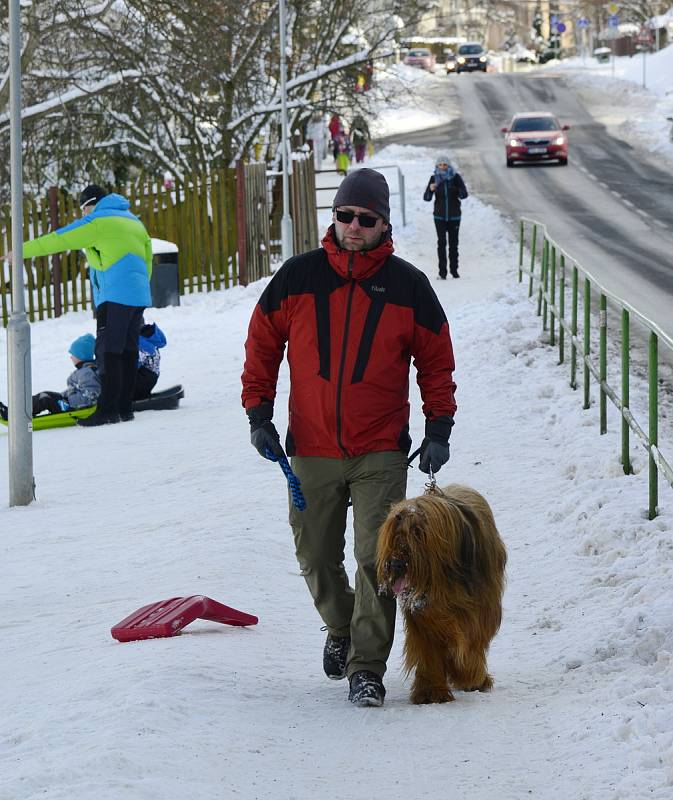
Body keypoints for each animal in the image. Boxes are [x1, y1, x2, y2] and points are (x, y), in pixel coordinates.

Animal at [378, 484, 504, 704]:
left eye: (417, 532)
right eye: (394, 532)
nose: (395, 564)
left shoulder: (479, 610)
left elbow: (471, 643)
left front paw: (469, 676)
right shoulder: (423, 620)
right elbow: (429, 652)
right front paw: (431, 691)